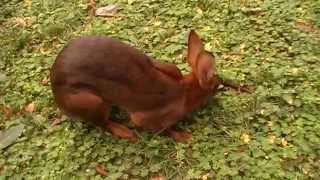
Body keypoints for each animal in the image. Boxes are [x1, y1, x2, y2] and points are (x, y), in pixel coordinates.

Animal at [50, 29, 249, 142]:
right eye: (216, 87)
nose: (223, 88)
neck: (185, 92)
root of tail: (55, 92)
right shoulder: (146, 119)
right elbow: (165, 130)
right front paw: (185, 137)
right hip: (92, 102)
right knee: (103, 123)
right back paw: (126, 133)